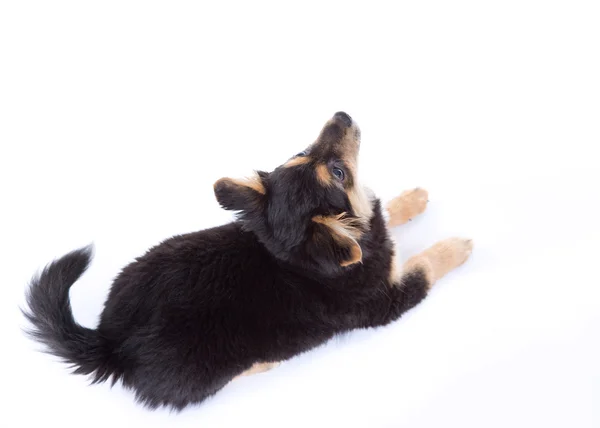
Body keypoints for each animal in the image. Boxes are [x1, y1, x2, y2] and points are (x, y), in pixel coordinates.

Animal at [22, 112, 474, 410]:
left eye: (306, 155)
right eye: (337, 172)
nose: (342, 115)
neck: (300, 259)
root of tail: (109, 342)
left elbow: (384, 215)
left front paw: (411, 199)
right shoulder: (386, 302)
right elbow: (425, 265)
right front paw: (455, 247)